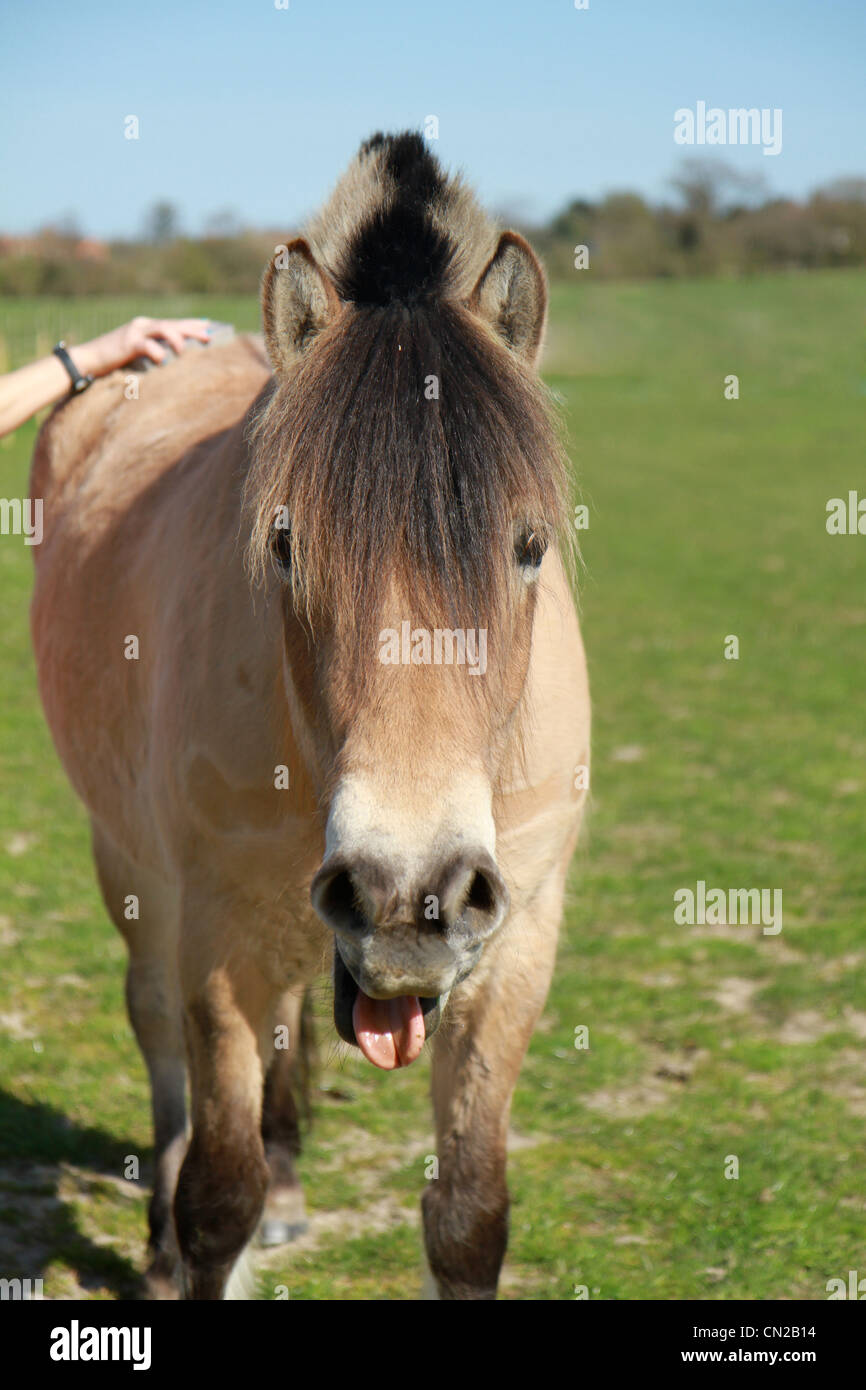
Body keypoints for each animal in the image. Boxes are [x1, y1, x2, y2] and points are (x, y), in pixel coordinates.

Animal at [29, 131, 590, 1300]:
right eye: (284, 543)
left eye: (527, 546)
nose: (409, 896)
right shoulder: (215, 934)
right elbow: (218, 1198)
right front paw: (191, 1233)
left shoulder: (515, 941)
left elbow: (466, 1214)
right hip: (135, 868)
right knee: (155, 1027)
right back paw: (159, 1236)